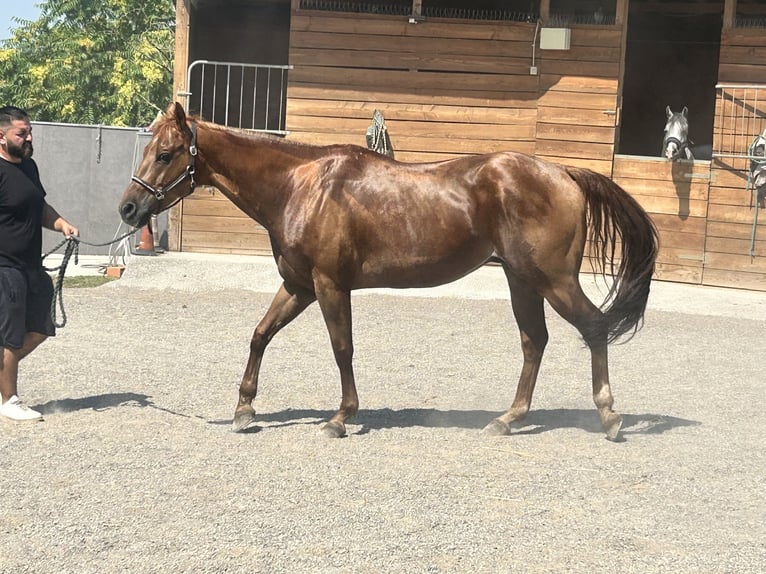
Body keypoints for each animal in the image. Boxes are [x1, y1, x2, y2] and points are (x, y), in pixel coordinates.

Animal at [119, 102, 658, 441]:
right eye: (147, 150)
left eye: (165, 153)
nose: (128, 208)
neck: (300, 185)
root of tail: (564, 173)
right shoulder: (298, 286)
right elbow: (260, 334)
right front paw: (244, 410)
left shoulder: (329, 285)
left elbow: (342, 349)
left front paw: (340, 418)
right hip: (522, 280)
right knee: (534, 342)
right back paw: (508, 419)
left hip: (553, 280)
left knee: (593, 327)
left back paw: (609, 416)